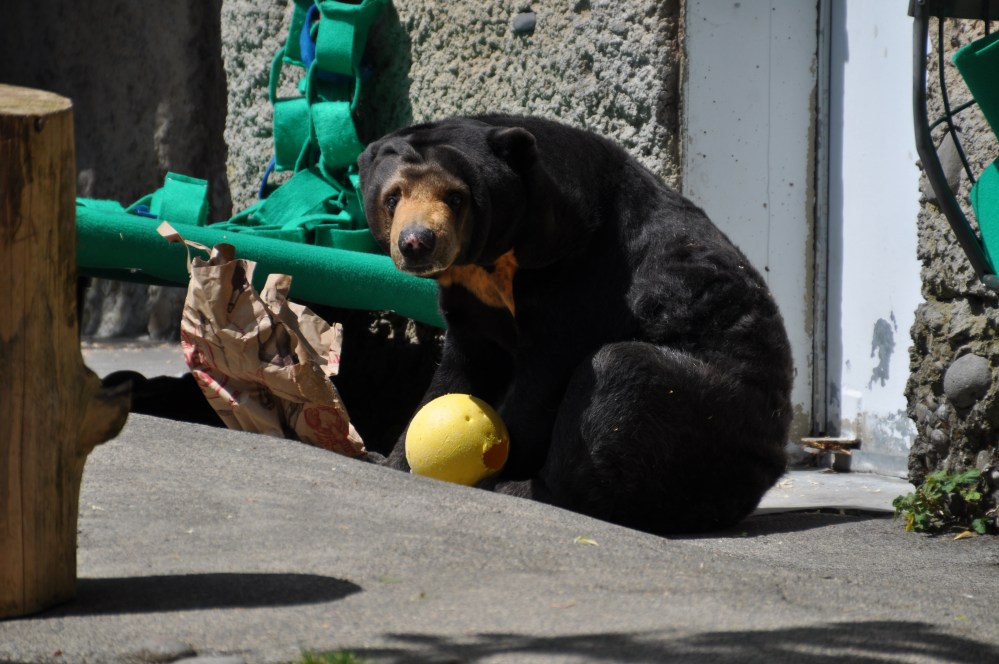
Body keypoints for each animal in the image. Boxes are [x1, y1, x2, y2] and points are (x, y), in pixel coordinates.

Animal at [357, 115, 793, 534]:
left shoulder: (581, 273)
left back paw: (522, 488)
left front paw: (494, 459)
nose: (417, 242)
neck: (499, 259)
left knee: (621, 377)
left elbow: (544, 376)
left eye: (455, 197)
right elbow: (461, 370)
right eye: (392, 196)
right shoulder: (472, 300)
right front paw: (394, 457)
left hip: (714, 417)